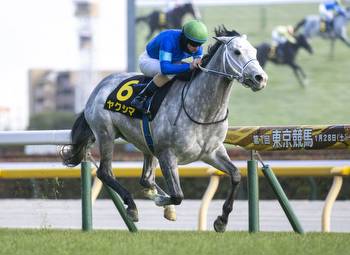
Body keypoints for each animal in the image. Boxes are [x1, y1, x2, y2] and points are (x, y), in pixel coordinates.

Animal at [60, 26, 268, 232]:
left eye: (254, 51)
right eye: (237, 52)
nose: (261, 78)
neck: (202, 110)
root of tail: (99, 86)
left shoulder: (212, 152)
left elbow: (235, 175)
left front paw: (222, 220)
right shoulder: (168, 154)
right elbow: (177, 195)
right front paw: (161, 200)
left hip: (146, 143)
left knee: (145, 179)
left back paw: (158, 201)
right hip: (106, 134)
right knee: (105, 172)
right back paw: (133, 206)